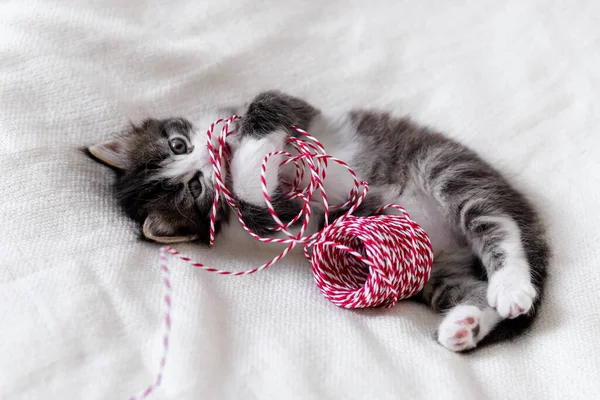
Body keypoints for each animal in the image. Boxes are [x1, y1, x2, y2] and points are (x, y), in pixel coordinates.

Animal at [88, 91, 548, 354]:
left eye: (178, 144)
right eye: (197, 187)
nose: (208, 154)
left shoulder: (298, 110)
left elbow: (266, 101)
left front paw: (245, 133)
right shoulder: (284, 217)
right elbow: (255, 198)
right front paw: (247, 164)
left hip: (443, 165)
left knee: (496, 222)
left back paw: (509, 286)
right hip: (435, 271)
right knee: (476, 281)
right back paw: (467, 323)